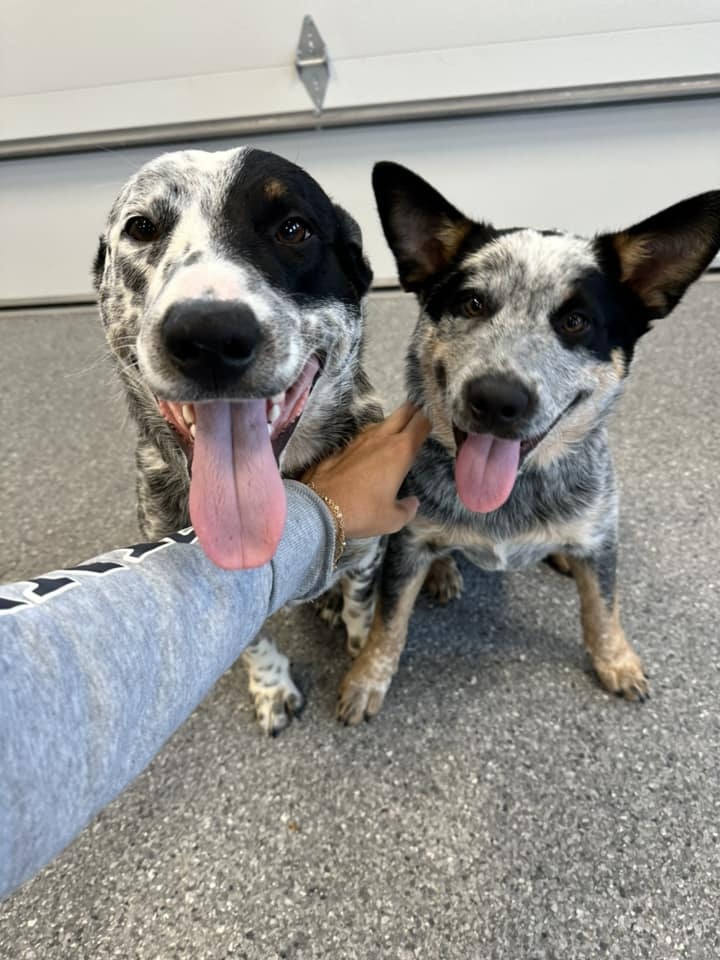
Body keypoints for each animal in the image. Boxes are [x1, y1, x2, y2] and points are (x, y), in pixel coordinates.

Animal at [95, 146, 386, 732]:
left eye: (293, 228)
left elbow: (362, 603)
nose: (208, 334)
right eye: (141, 227)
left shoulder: (371, 547)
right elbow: (253, 641)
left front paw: (363, 650)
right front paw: (272, 686)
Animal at [338, 161, 720, 724]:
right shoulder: (405, 543)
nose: (497, 399)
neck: (509, 500)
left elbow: (602, 606)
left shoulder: (601, 538)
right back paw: (443, 571)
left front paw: (617, 660)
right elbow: (390, 621)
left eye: (576, 321)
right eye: (472, 302)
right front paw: (368, 676)